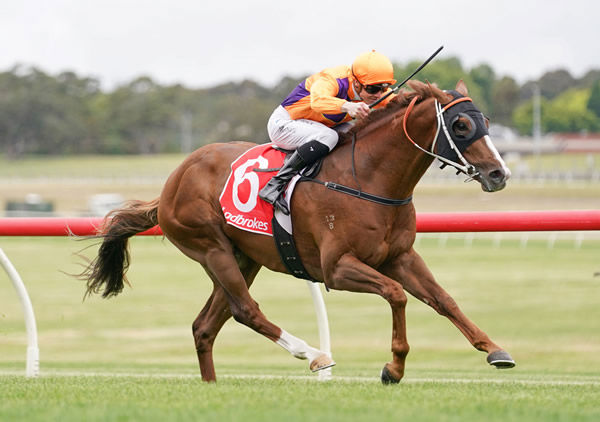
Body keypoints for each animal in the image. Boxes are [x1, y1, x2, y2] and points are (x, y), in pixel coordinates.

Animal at [82, 81, 516, 384]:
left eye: (486, 123)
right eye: (461, 125)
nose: (499, 174)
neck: (368, 178)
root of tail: (172, 182)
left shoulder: (400, 257)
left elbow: (444, 300)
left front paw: (495, 350)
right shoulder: (338, 268)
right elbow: (396, 295)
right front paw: (393, 368)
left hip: (243, 257)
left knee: (205, 326)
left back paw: (212, 385)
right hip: (210, 247)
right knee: (246, 310)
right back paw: (313, 354)